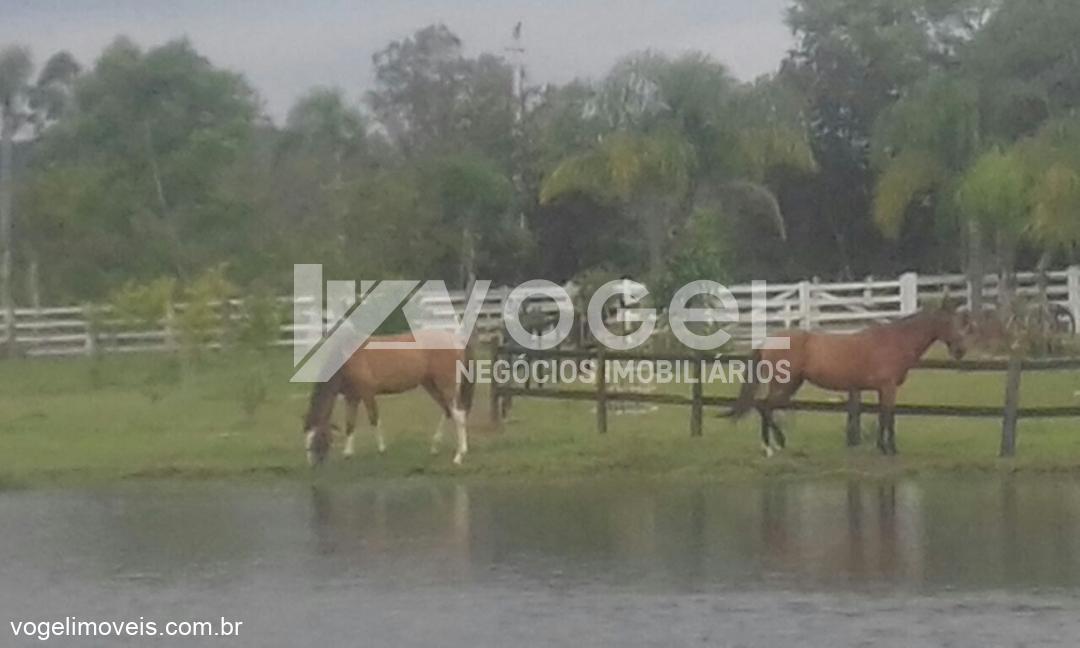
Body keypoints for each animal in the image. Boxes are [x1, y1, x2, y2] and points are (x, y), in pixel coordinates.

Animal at [302, 334, 475, 466]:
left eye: (316, 438)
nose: (312, 465)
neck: (347, 359)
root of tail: (455, 340)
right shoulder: (352, 397)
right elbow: (350, 425)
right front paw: (348, 454)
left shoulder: (367, 394)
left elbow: (374, 419)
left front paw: (382, 450)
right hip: (430, 385)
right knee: (448, 411)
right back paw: (435, 448)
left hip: (446, 386)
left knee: (458, 415)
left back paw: (459, 456)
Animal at [725, 302, 972, 455]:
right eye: (949, 322)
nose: (960, 351)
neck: (894, 341)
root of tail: (768, 341)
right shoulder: (888, 388)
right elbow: (888, 418)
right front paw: (889, 449)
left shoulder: (880, 389)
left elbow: (884, 417)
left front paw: (883, 447)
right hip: (784, 384)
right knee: (765, 406)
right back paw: (771, 447)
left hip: (790, 385)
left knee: (764, 407)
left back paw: (776, 444)